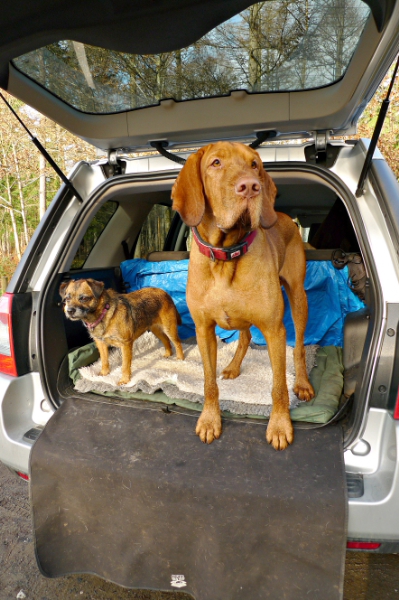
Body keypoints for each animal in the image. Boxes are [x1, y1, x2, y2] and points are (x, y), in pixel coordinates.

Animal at [172, 142, 316, 450]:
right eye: (215, 163)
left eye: (254, 165)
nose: (251, 187)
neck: (226, 255)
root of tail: (283, 215)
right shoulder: (204, 329)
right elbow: (208, 382)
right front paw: (210, 419)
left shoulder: (274, 329)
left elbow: (278, 386)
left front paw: (279, 424)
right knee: (246, 336)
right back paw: (233, 366)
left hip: (298, 296)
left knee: (298, 347)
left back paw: (302, 383)